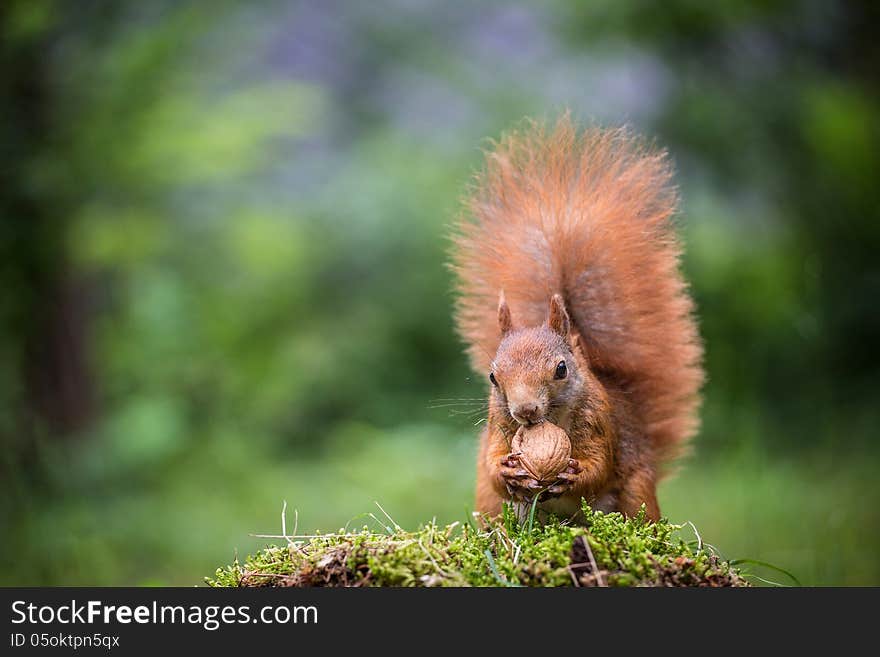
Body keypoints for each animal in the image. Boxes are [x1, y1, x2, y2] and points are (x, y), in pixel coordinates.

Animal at [450, 115, 704, 520]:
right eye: (492, 376)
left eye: (561, 369)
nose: (525, 411)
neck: (550, 421)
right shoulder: (498, 424)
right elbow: (492, 465)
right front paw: (506, 469)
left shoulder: (600, 422)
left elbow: (599, 466)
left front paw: (574, 473)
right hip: (490, 505)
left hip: (636, 492)